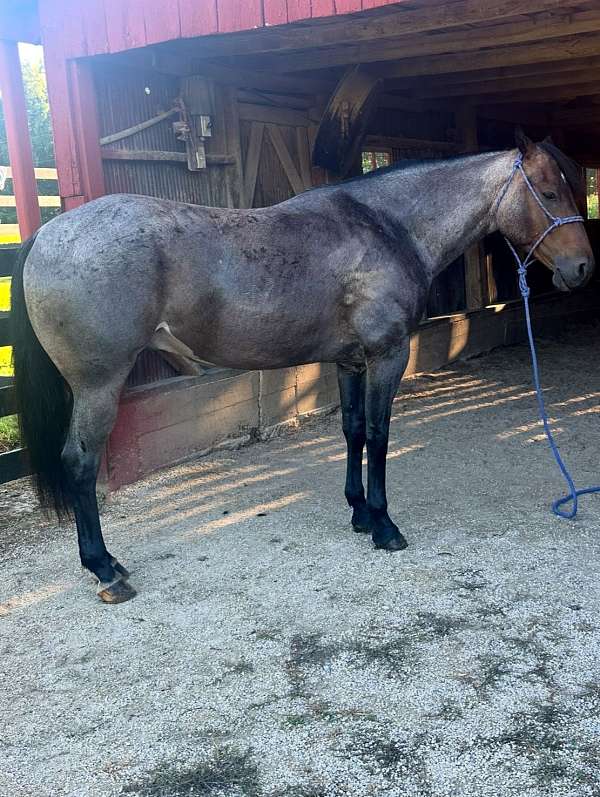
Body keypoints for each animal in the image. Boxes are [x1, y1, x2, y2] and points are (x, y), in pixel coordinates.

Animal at [11, 130, 594, 604]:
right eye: (549, 191)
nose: (582, 268)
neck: (388, 227)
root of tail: (49, 234)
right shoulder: (387, 355)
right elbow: (379, 435)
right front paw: (384, 526)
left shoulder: (350, 361)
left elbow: (353, 431)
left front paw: (359, 513)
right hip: (98, 387)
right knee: (80, 464)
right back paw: (105, 569)